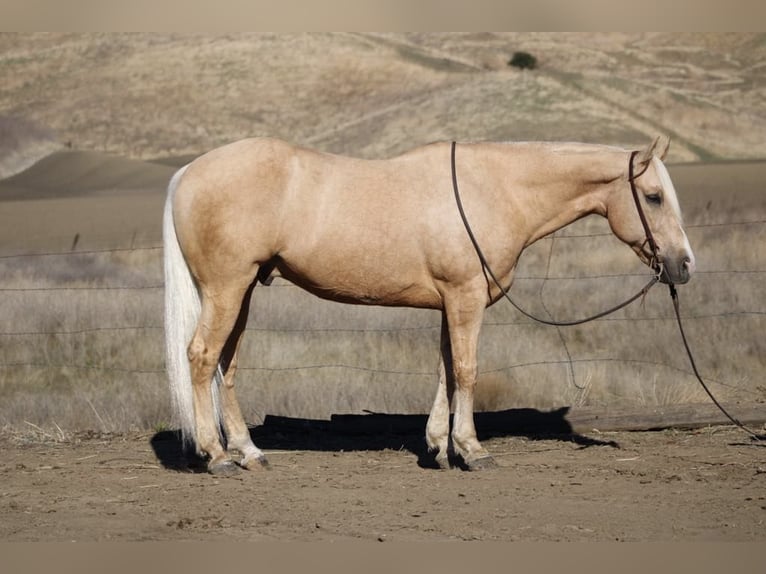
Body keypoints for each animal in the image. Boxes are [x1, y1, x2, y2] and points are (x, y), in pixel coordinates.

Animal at [165, 136, 700, 476]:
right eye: (653, 196)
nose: (683, 265)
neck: (494, 190)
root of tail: (189, 171)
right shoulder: (465, 297)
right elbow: (467, 370)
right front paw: (473, 449)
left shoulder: (452, 301)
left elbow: (446, 368)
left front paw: (441, 446)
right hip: (227, 289)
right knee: (202, 357)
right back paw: (216, 457)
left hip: (243, 291)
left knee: (226, 365)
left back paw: (247, 452)